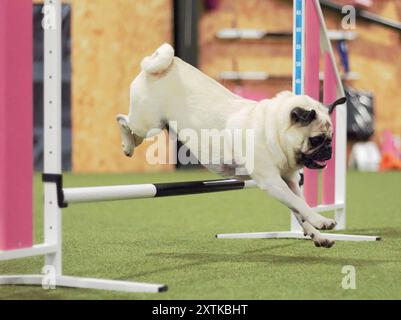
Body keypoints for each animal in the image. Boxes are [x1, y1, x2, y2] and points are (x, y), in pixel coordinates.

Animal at [115, 43, 344, 248]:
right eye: (316, 140)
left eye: (331, 138)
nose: (329, 150)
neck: (273, 128)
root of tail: (167, 64)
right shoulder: (272, 182)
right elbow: (299, 205)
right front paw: (321, 221)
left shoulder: (290, 182)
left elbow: (300, 209)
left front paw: (317, 235)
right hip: (148, 124)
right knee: (122, 119)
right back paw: (127, 145)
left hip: (154, 125)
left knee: (132, 130)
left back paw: (129, 145)